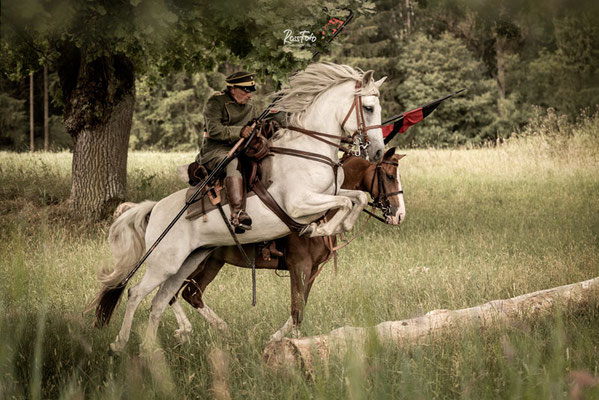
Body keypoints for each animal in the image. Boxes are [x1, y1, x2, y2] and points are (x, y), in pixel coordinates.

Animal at [166, 148, 406, 342]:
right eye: (389, 176)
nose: (399, 214)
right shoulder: (299, 266)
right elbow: (297, 309)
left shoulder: (312, 269)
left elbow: (299, 309)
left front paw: (283, 339)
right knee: (172, 293)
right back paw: (184, 331)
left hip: (213, 263)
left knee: (191, 294)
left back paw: (221, 329)